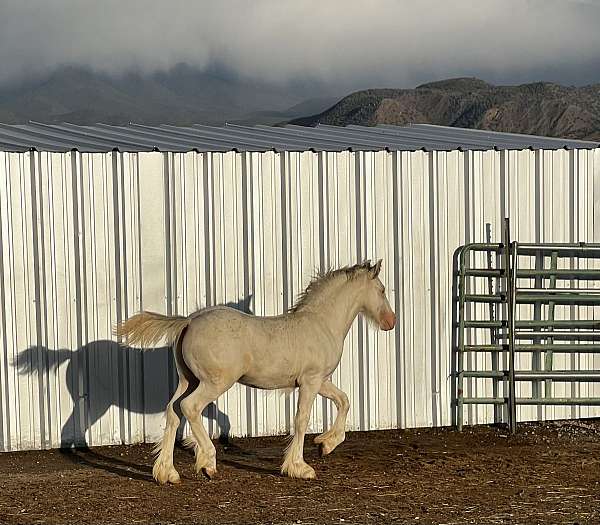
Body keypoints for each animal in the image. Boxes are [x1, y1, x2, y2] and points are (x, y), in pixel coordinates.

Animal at [117, 258, 398, 484]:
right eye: (382, 290)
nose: (391, 322)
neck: (321, 323)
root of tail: (189, 321)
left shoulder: (322, 381)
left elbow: (344, 401)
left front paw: (326, 444)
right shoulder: (311, 380)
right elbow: (301, 419)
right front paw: (300, 467)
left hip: (189, 380)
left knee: (173, 412)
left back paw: (167, 473)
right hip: (214, 383)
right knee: (189, 408)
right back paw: (208, 463)